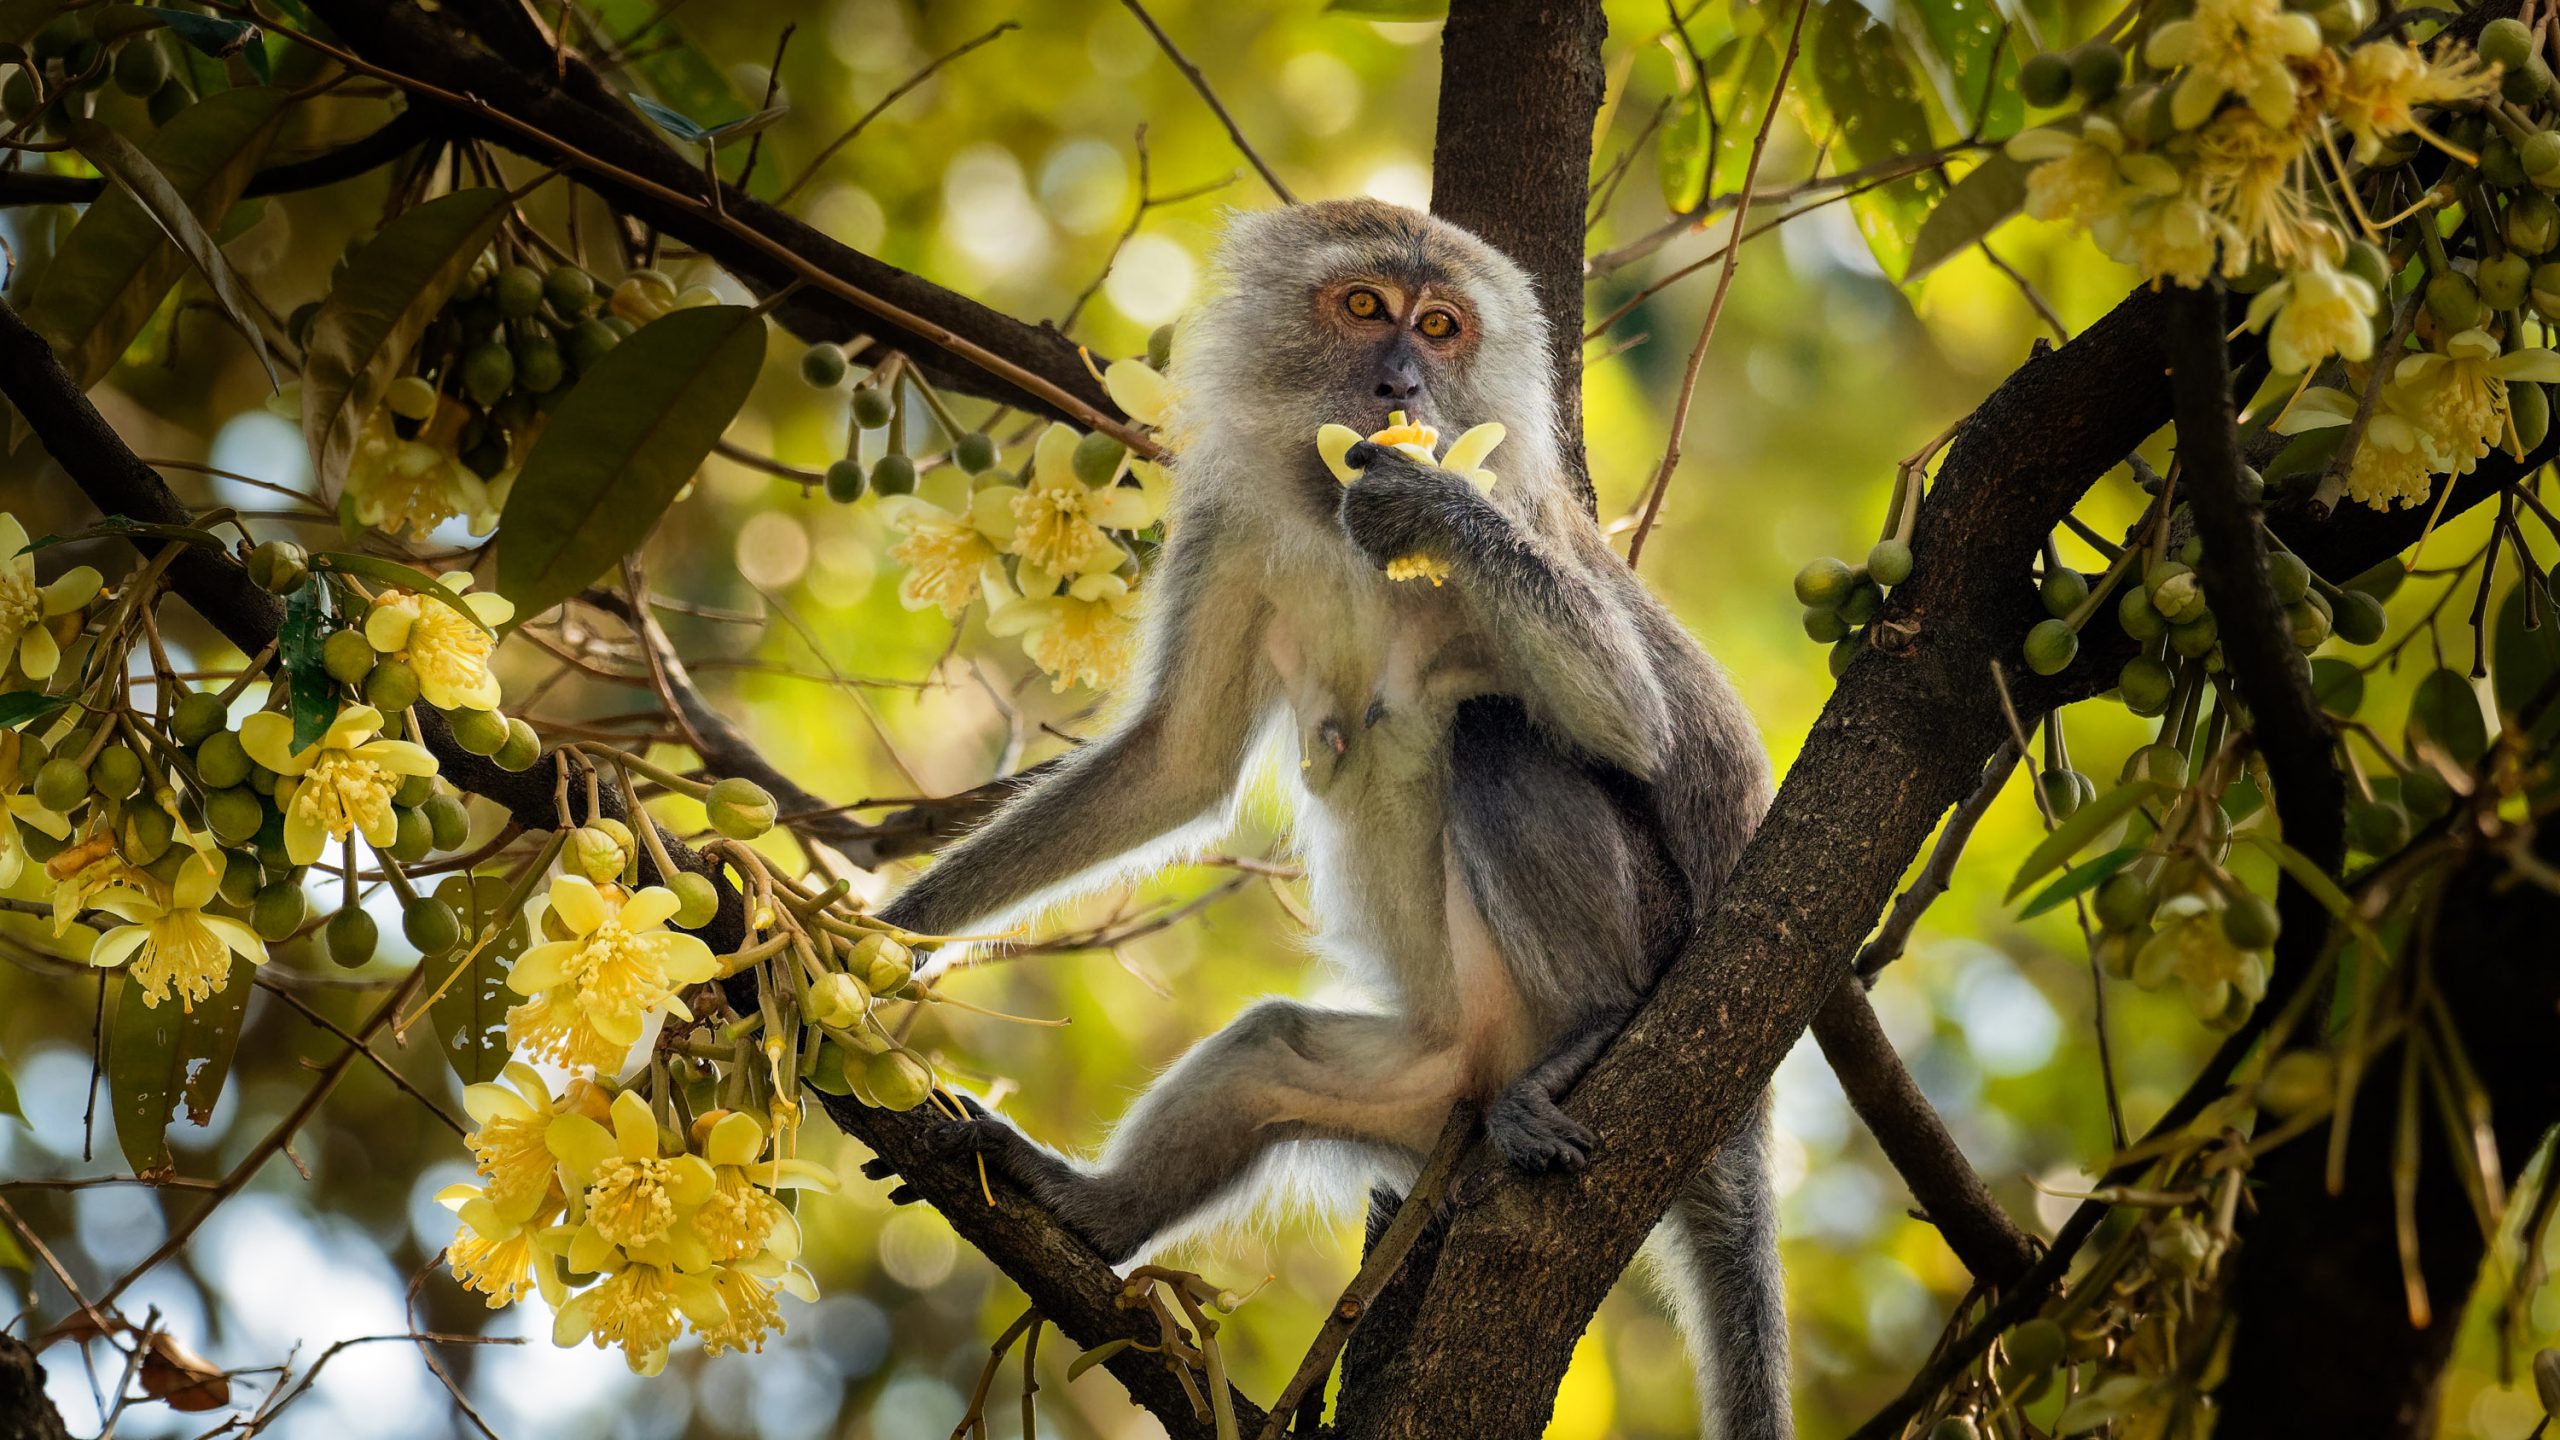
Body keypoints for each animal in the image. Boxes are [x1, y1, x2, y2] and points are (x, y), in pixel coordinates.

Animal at [870, 196, 1792, 1424]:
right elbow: (1176, 764)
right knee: (1272, 1051)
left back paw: (1595, 1023)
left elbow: (1637, 727)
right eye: (1364, 307)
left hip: (1653, 951)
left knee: (1502, 738)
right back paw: (1090, 1213)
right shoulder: (1228, 524)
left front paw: (1432, 501)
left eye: (1441, 326)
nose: (1401, 382)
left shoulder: (1526, 509)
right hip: (1432, 1102)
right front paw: (888, 931)